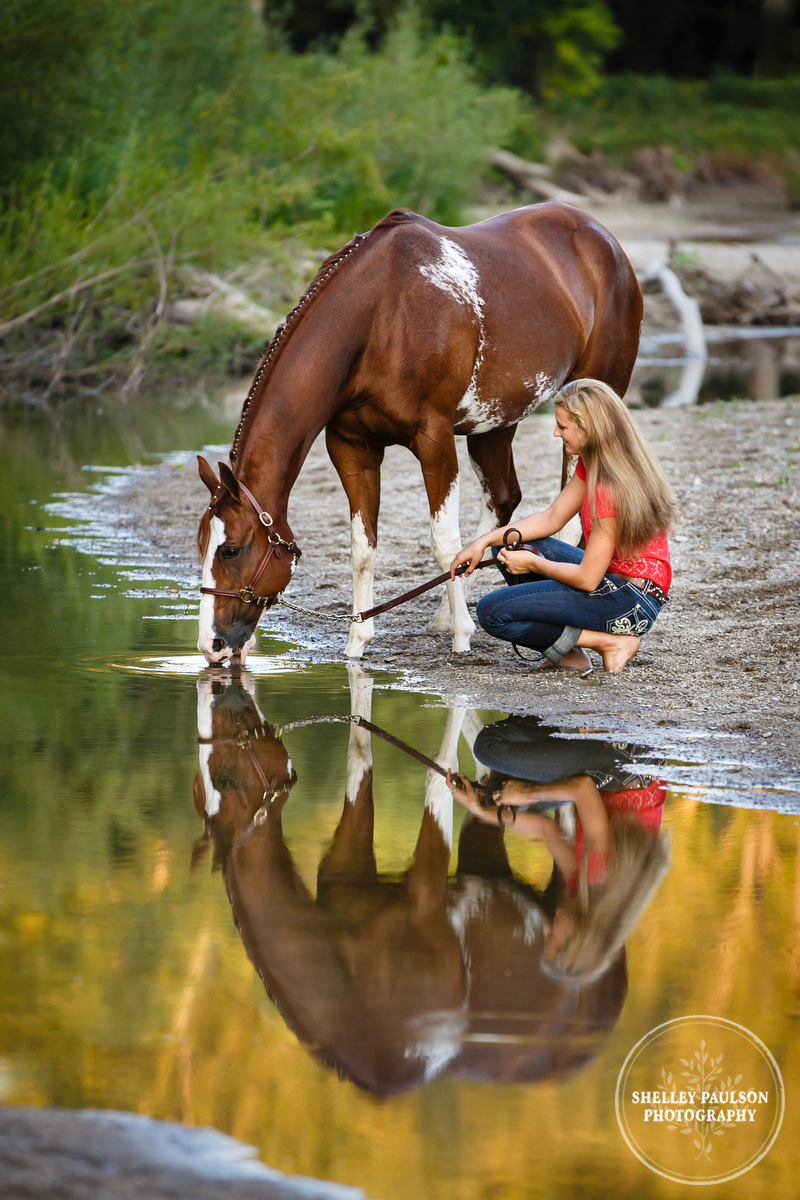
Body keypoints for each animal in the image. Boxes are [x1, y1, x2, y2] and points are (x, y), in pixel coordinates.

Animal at [196, 200, 642, 662]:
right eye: (201, 545)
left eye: (231, 549)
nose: (211, 644)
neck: (380, 317)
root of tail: (601, 238)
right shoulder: (352, 447)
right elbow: (363, 547)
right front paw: (358, 639)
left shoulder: (434, 439)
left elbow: (444, 542)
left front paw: (462, 636)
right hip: (494, 423)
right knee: (503, 500)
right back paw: (445, 612)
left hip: (584, 406)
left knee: (567, 519)